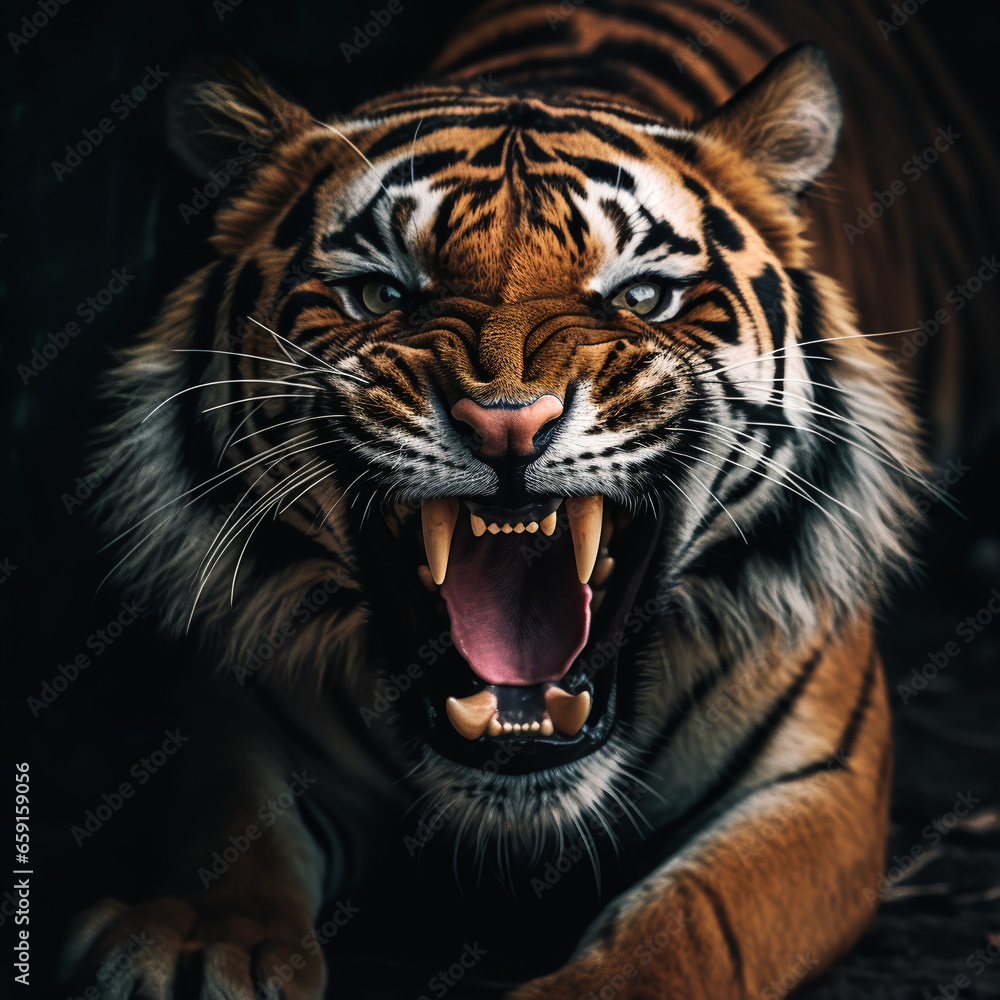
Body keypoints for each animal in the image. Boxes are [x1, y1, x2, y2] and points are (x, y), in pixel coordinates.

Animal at [59, 0, 995, 997]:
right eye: (378, 293)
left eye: (645, 297)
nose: (507, 425)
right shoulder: (244, 716)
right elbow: (229, 845)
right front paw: (200, 947)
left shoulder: (816, 774)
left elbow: (697, 913)